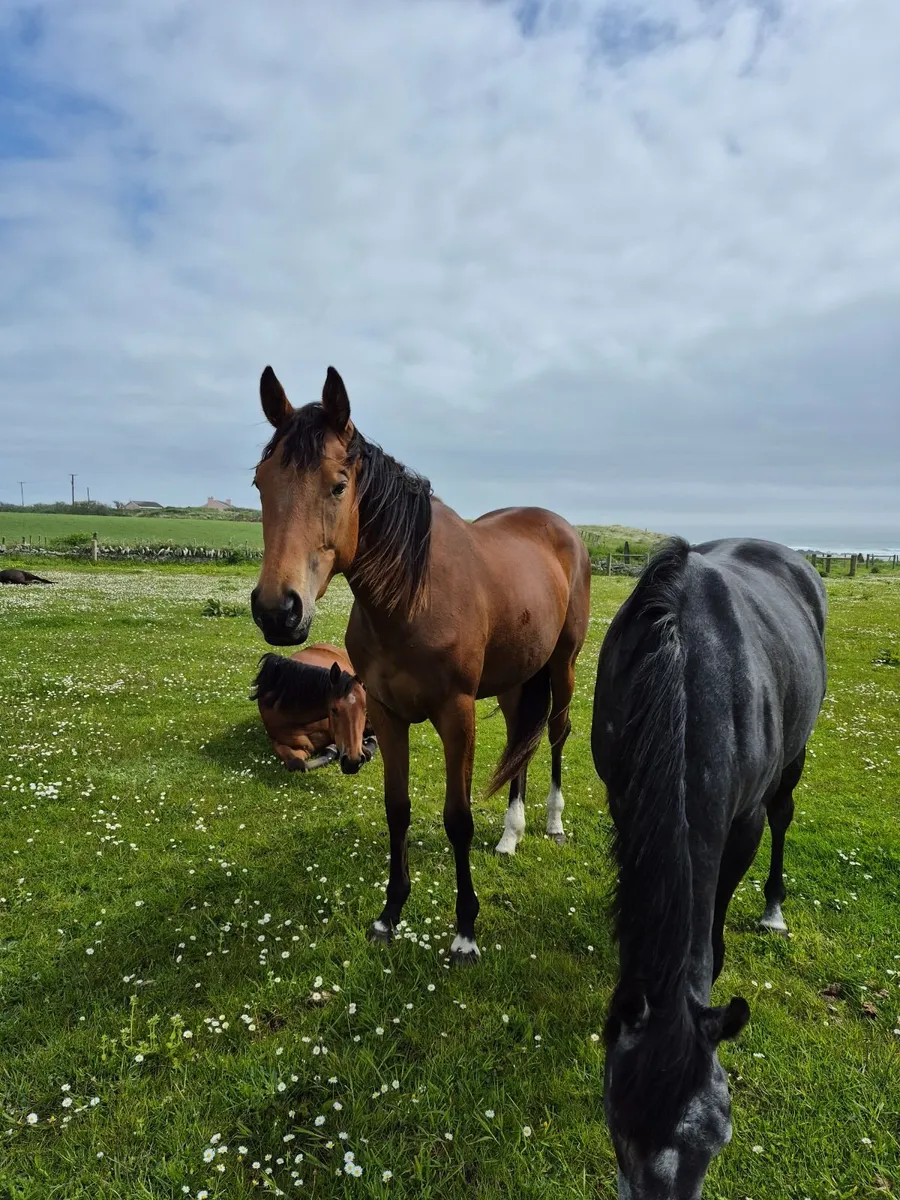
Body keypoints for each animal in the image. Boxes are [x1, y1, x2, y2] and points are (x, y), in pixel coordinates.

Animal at [251, 644, 376, 774]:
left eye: (365, 710)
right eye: (333, 709)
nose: (352, 763)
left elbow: (367, 752)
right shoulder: (280, 744)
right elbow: (297, 763)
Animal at [591, 538, 826, 1200]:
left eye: (720, 1140)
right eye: (619, 1130)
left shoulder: (742, 821)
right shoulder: (624, 798)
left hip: (794, 760)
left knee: (785, 815)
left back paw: (773, 908)